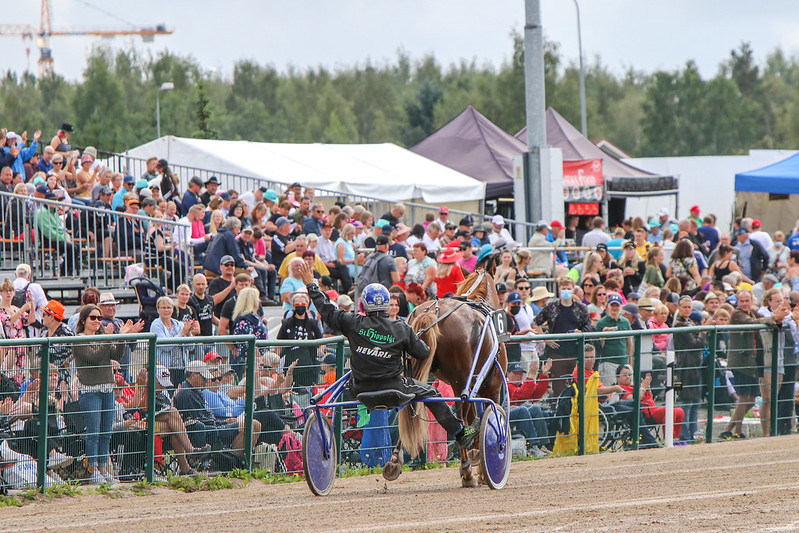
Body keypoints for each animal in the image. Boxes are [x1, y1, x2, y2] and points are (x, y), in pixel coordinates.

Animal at [398, 270, 510, 486]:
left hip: (416, 371)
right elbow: (485, 417)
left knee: (409, 402)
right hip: (461, 381)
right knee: (461, 414)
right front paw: (480, 465)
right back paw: (467, 470)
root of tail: (434, 312)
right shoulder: (491, 386)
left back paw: (393, 462)